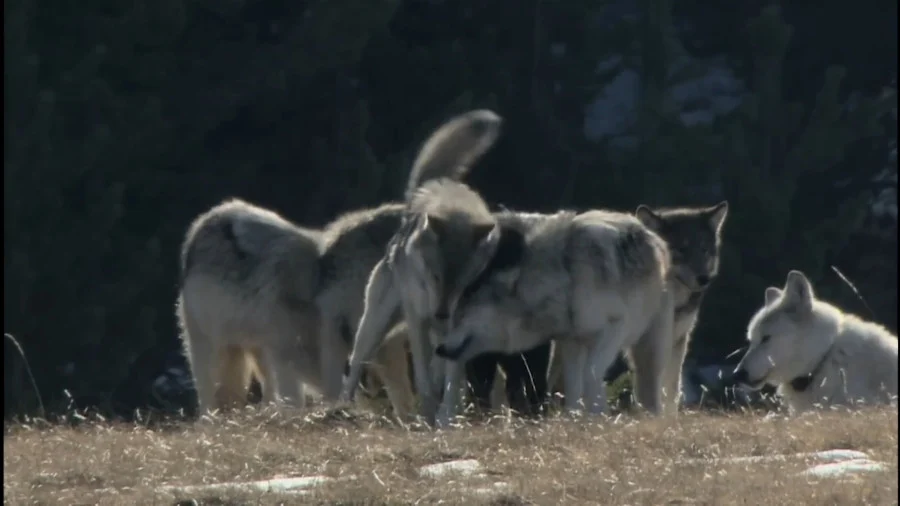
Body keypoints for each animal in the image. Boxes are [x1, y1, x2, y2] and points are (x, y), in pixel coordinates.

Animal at [340, 108, 506, 424]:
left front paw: (446, 418)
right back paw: (337, 407)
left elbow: (450, 378)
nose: (441, 313)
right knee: (354, 364)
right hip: (376, 323)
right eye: (435, 276)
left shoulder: (457, 327)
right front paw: (430, 415)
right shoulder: (418, 319)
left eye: (463, 282)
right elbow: (424, 377)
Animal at [432, 208, 672, 418]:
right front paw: (575, 420)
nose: (440, 349)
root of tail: (653, 237)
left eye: (461, 316)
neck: (567, 279)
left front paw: (597, 416)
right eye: (453, 317)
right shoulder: (571, 340)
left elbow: (592, 374)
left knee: (651, 382)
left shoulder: (614, 328)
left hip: (647, 346)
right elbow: (574, 386)